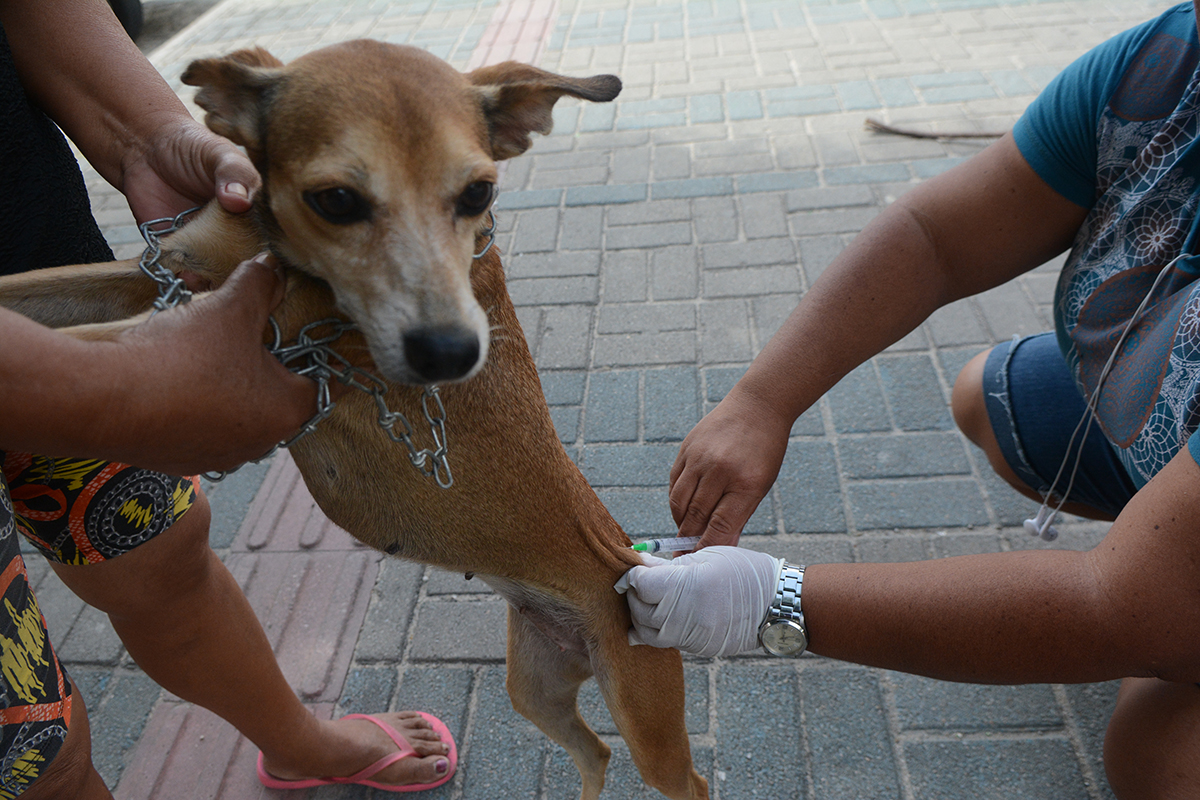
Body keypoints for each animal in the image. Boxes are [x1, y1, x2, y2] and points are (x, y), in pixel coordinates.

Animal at [0, 42, 705, 800]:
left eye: (478, 195)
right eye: (336, 199)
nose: (451, 354)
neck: (273, 246)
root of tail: (627, 562)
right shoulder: (154, 276)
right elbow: (32, 303)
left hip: (648, 722)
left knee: (678, 776)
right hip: (537, 686)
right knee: (594, 753)